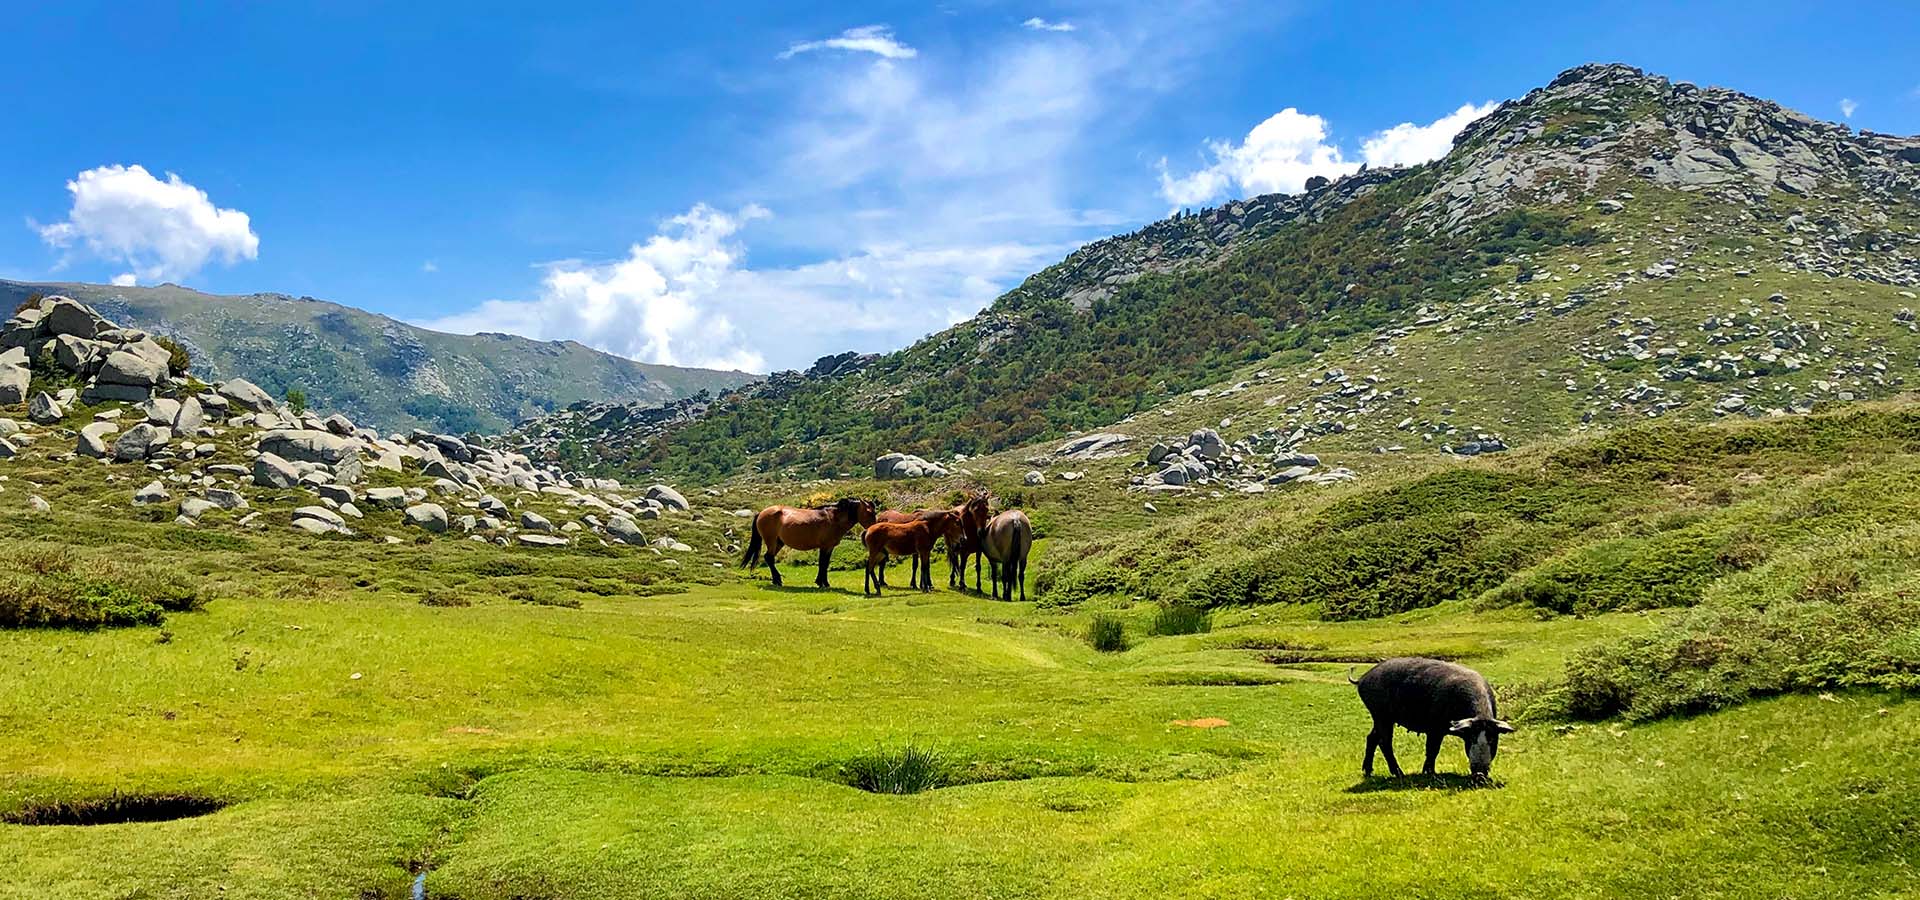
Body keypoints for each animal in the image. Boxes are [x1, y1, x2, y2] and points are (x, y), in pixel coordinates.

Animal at [742, 497, 877, 589]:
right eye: (870, 512)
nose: (874, 528)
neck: (833, 518)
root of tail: (761, 512)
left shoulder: (829, 547)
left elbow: (825, 564)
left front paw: (823, 582)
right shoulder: (824, 547)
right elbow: (823, 564)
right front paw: (822, 583)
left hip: (779, 543)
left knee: (769, 558)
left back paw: (776, 580)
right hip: (771, 541)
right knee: (769, 558)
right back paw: (778, 580)